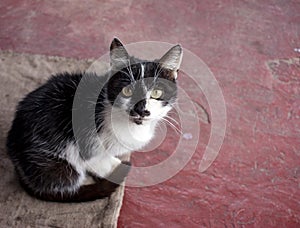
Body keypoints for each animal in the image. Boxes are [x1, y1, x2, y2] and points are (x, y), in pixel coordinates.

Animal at [5, 38, 182, 202]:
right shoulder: (85, 137)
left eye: (157, 93)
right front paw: (113, 167)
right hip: (56, 164)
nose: (140, 110)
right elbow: (95, 159)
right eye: (127, 91)